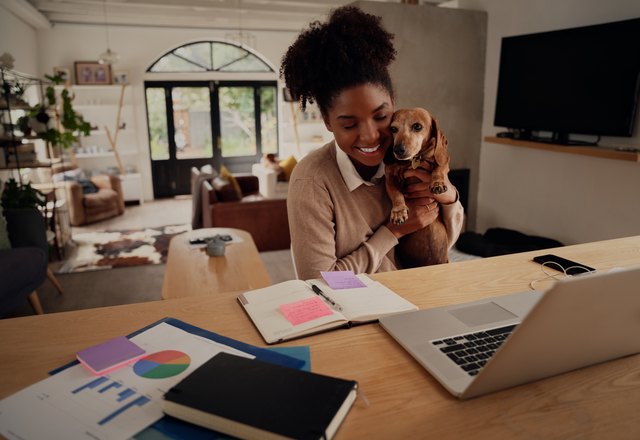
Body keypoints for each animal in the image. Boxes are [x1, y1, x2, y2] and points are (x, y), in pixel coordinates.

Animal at [384, 108, 450, 270]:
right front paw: (399, 211)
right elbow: (396, 194)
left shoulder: (444, 162)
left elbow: (439, 168)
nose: (397, 150)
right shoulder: (390, 179)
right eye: (393, 129)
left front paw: (437, 183)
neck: (415, 160)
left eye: (417, 126)